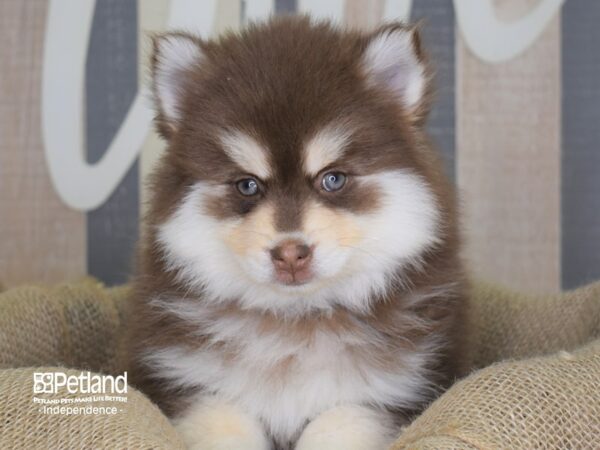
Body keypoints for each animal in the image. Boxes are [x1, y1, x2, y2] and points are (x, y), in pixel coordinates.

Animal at [129, 16, 468, 450]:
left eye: (333, 178)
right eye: (247, 185)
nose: (290, 253)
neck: (294, 322)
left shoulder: (389, 395)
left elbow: (336, 426)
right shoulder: (189, 386)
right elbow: (224, 424)